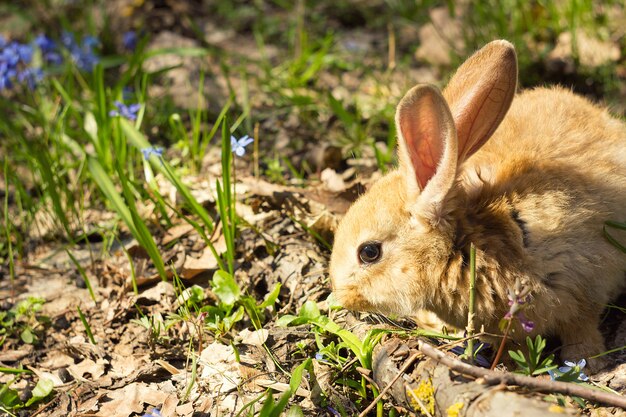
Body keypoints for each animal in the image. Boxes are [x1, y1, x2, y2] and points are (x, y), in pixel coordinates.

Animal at [326, 40, 624, 368]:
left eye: (369, 252)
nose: (339, 295)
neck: (466, 243)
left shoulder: (585, 281)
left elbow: (582, 326)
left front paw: (585, 361)